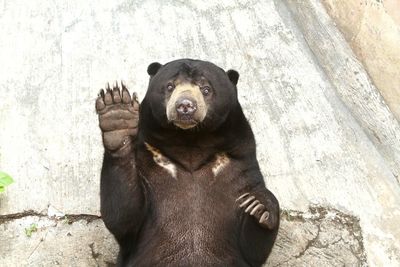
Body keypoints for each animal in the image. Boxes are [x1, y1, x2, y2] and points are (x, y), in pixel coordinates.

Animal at [95, 59, 280, 267]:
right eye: (170, 86)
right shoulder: (147, 157)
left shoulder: (238, 162)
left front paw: (259, 203)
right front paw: (117, 115)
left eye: (206, 89)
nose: (185, 106)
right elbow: (124, 218)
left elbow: (252, 250)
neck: (190, 143)